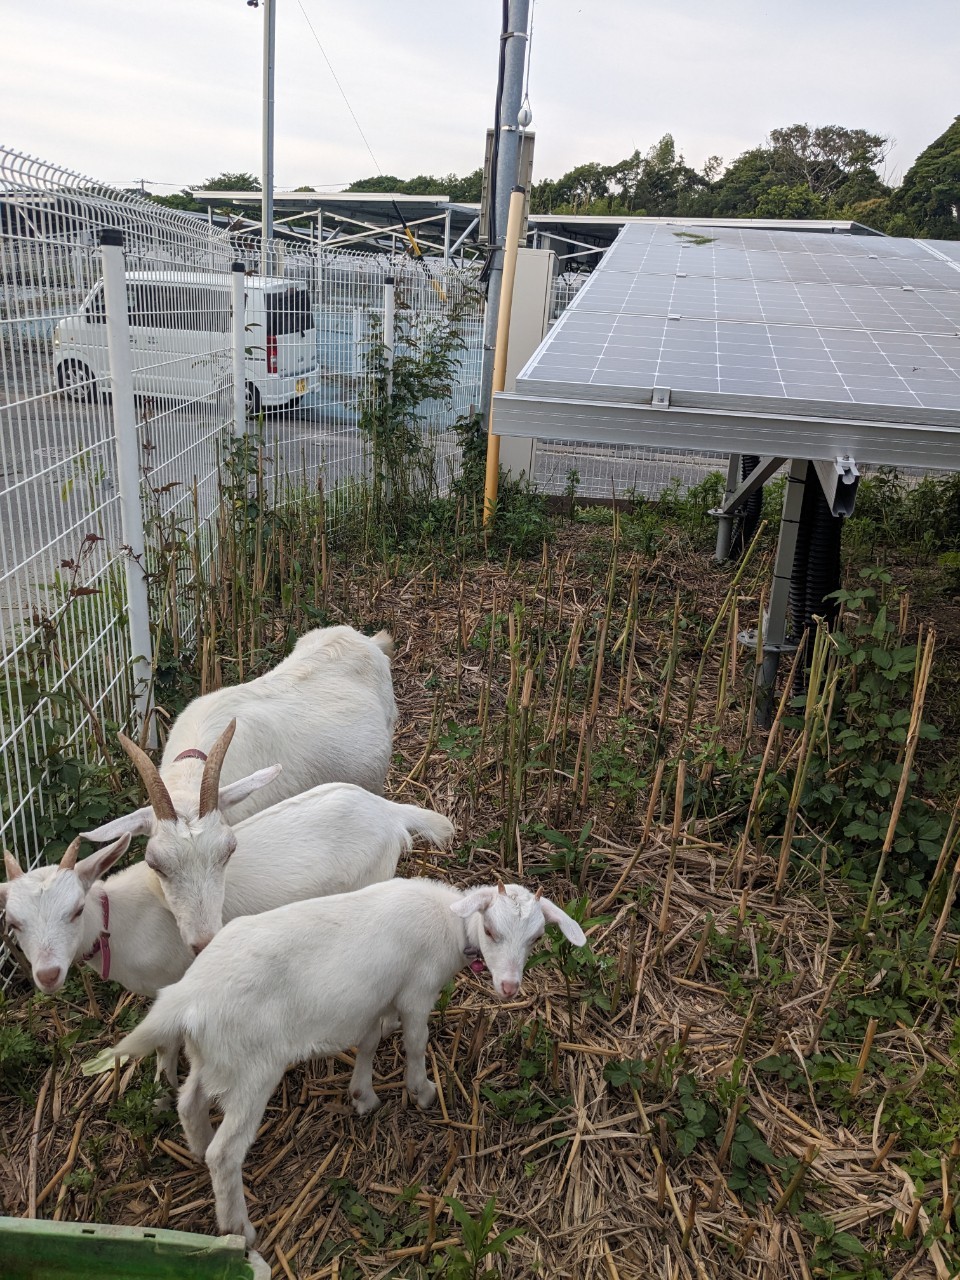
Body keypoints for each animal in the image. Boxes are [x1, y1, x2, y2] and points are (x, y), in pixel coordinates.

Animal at [104, 880, 586, 1239]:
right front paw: (422, 1092)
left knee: (189, 1103)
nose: (509, 987)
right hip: (253, 1068)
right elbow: (416, 1041)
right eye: (490, 929)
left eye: (537, 937)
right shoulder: (416, 992)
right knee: (225, 1154)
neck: (449, 924)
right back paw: (239, 1228)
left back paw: (197, 1147)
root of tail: (184, 996)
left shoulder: (378, 998)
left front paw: (362, 1095)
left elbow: (370, 1041)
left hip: (214, 1055)